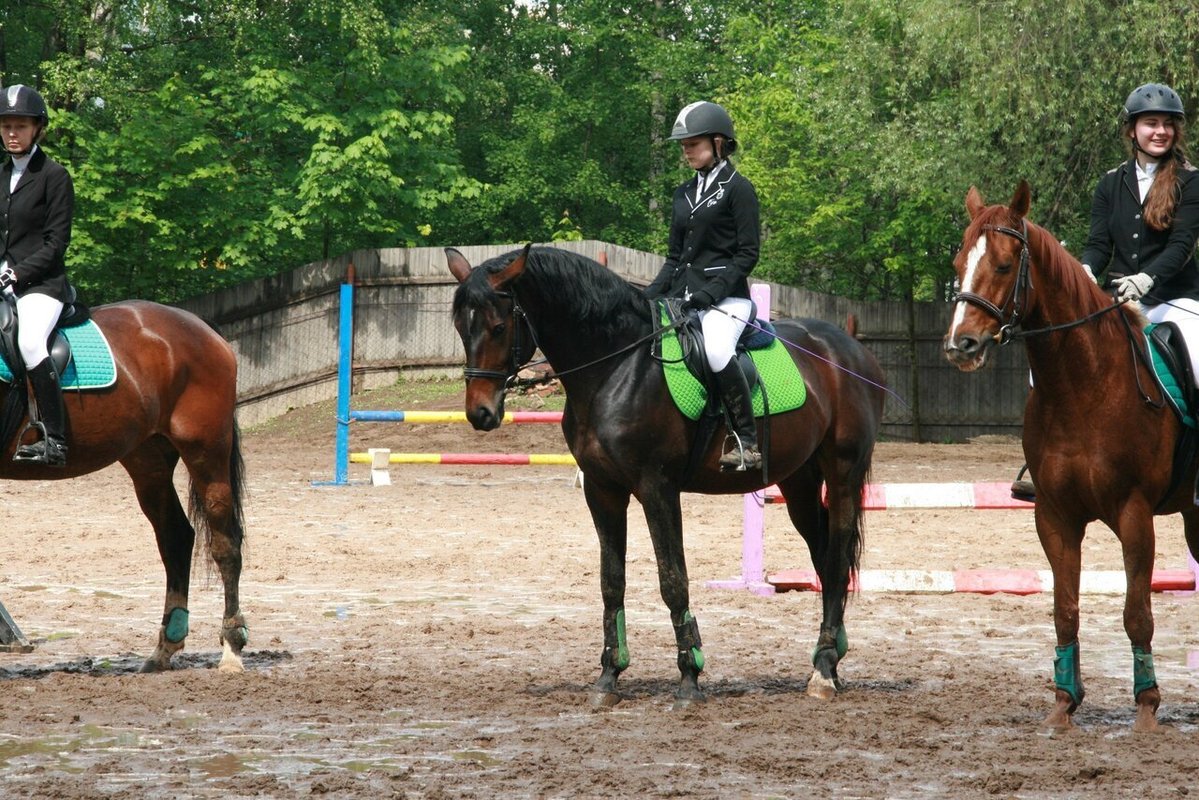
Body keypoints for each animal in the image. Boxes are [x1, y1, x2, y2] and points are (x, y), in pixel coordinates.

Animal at [0, 299, 248, 676]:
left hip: (206, 452)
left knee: (225, 544)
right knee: (176, 537)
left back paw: (231, 648)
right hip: (148, 460)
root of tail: (198, 324)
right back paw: (165, 647)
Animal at [446, 245, 887, 705]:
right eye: (460, 327)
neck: (617, 367)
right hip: (798, 482)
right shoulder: (602, 491)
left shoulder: (657, 487)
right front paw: (609, 676)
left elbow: (673, 579)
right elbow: (611, 581)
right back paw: (830, 658)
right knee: (823, 557)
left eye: (499, 327)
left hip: (842, 474)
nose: (480, 414)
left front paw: (689, 676)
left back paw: (823, 671)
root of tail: (851, 349)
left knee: (836, 559)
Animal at [944, 181, 1199, 734]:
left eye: (1003, 265)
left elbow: (1137, 613)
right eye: (958, 262)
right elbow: (1065, 609)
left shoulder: (1134, 513)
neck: (1085, 385)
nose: (961, 345)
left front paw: (1146, 708)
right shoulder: (1055, 516)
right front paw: (1064, 704)